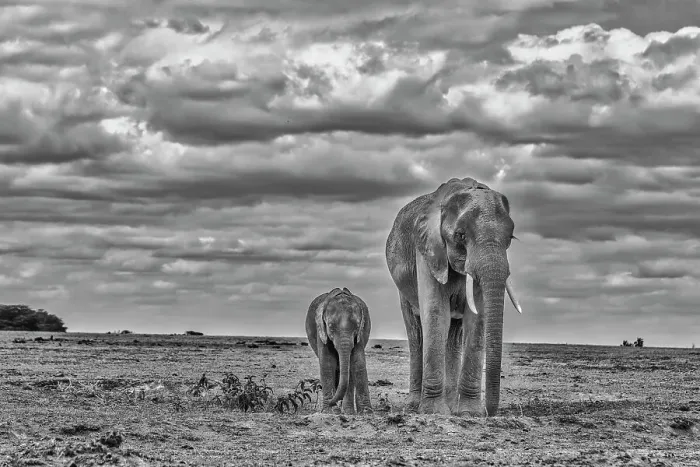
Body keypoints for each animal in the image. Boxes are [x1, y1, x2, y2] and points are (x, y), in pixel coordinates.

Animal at [385, 177, 523, 417]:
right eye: (460, 235)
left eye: (510, 238)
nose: (489, 412)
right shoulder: (428, 250)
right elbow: (436, 313)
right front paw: (433, 412)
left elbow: (477, 319)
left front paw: (469, 413)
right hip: (403, 290)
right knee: (416, 333)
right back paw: (415, 405)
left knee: (455, 334)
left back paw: (451, 406)